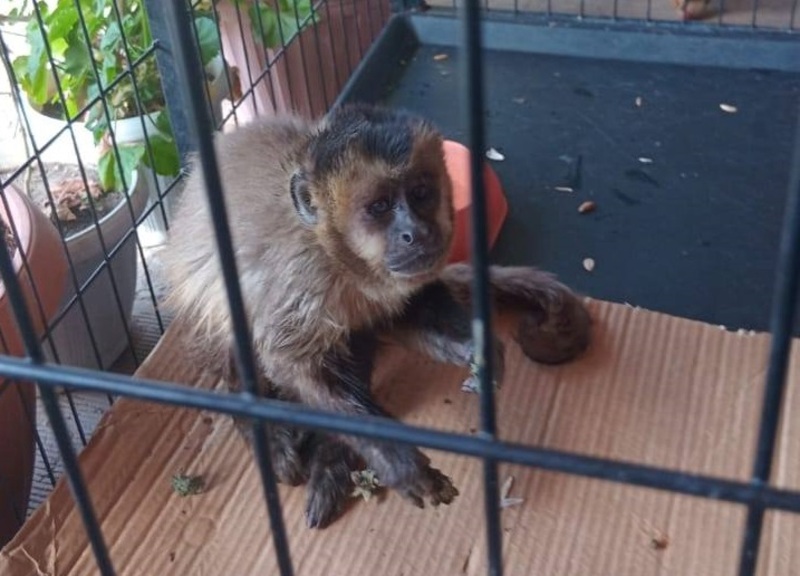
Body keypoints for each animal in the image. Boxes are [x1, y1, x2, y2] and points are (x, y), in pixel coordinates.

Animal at [162, 103, 591, 529]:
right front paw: (397, 462)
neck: (337, 257)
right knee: (221, 321)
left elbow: (405, 308)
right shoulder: (301, 278)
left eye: (420, 194)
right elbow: (289, 363)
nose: (416, 232)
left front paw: (475, 351)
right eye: (380, 207)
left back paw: (332, 458)